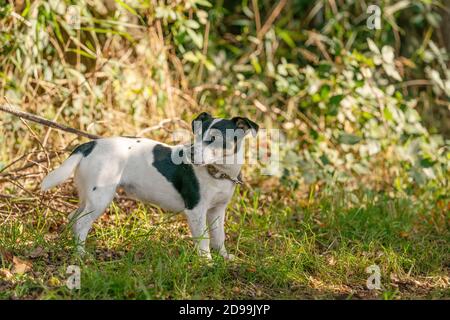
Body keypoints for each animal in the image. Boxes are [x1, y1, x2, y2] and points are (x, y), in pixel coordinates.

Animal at [43, 112, 260, 260]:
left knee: (73, 217)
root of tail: (89, 145)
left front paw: (224, 257)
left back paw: (68, 244)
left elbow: (219, 236)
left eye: (214, 139)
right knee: (81, 223)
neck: (217, 172)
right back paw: (81, 254)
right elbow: (204, 239)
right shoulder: (196, 210)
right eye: (196, 136)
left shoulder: (217, 210)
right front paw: (206, 262)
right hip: (100, 198)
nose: (190, 153)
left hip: (87, 197)